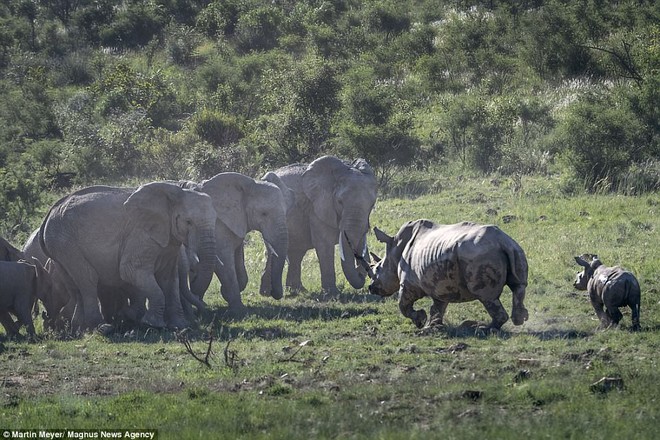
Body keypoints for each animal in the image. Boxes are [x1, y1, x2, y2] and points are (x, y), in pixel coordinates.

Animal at [39, 181, 217, 330]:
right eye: (188, 222)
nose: (204, 312)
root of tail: (49, 213)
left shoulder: (169, 242)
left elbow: (169, 280)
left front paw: (180, 326)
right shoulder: (141, 234)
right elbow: (130, 271)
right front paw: (152, 324)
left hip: (60, 248)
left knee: (74, 285)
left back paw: (81, 328)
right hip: (64, 242)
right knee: (88, 279)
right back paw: (102, 328)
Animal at [182, 172, 292, 312]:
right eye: (264, 213)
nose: (271, 293)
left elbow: (238, 259)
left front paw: (225, 293)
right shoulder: (217, 225)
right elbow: (224, 261)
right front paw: (239, 310)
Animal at [262, 156, 376, 296]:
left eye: (372, 204)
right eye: (339, 202)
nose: (361, 274)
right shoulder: (317, 208)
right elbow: (324, 245)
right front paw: (333, 294)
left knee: (296, 253)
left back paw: (297, 290)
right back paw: (268, 293)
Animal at [368, 220, 528, 330]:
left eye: (377, 269)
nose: (371, 288)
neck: (394, 252)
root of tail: (502, 241)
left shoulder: (408, 284)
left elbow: (403, 305)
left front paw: (420, 321)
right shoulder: (439, 284)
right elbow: (438, 307)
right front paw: (432, 326)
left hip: (481, 255)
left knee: (486, 296)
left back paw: (484, 329)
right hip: (515, 249)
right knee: (519, 286)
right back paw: (520, 319)